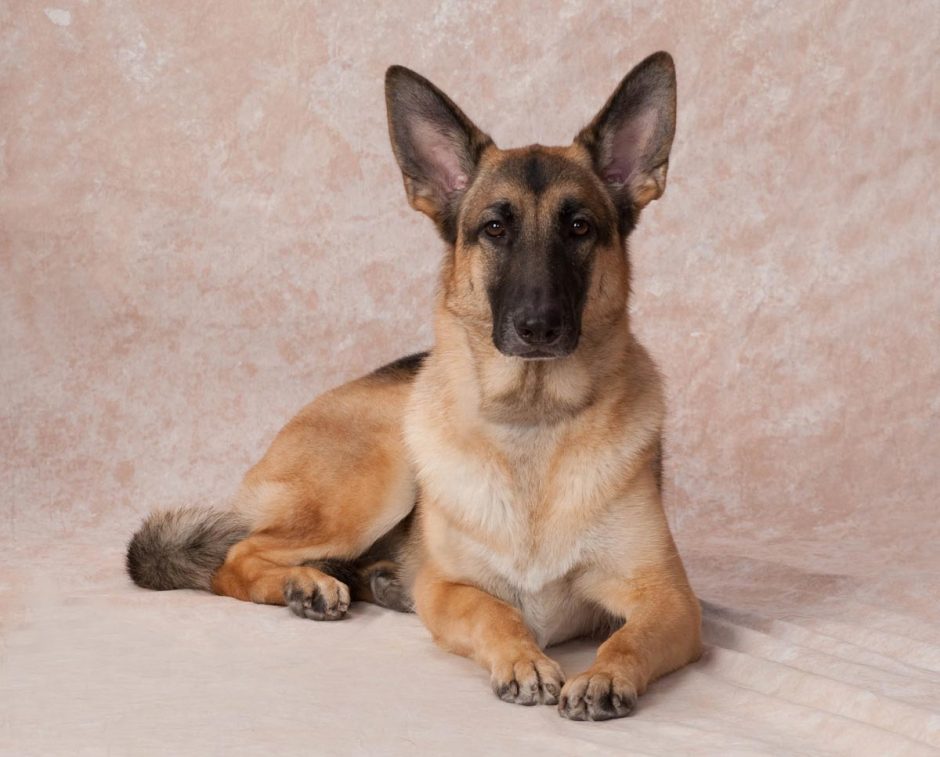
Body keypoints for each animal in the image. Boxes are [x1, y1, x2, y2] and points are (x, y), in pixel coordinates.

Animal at [127, 51, 702, 721]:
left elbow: (628, 638)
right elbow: (494, 612)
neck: (531, 420)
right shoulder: (453, 589)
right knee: (234, 560)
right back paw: (306, 584)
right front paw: (524, 659)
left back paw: (370, 581)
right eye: (494, 229)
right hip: (377, 477)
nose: (538, 327)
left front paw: (604, 675)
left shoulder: (671, 600)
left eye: (580, 227)